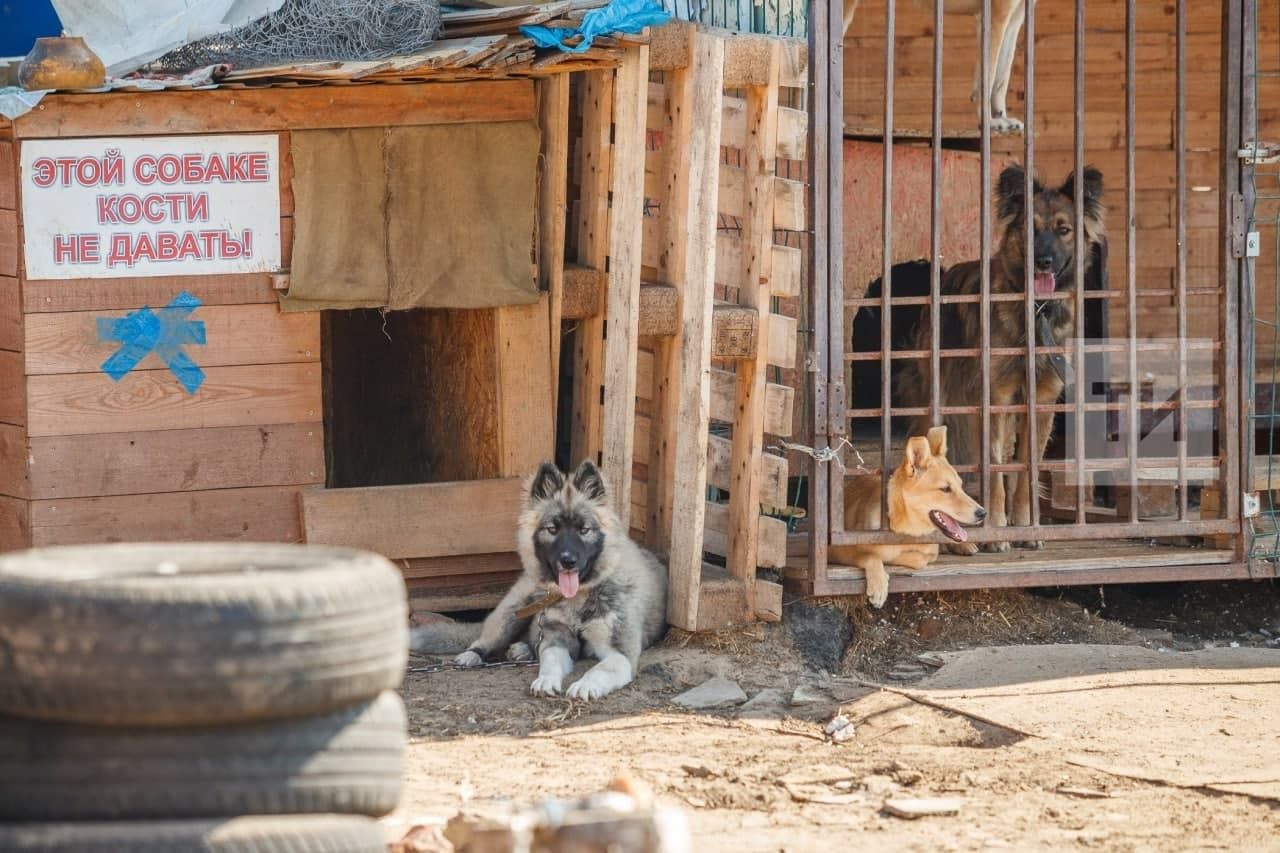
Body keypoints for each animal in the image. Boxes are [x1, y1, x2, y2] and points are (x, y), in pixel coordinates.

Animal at [834, 427, 983, 607]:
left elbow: (921, 558)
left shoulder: (930, 549)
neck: (905, 530)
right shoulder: (837, 549)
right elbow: (871, 555)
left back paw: (965, 546)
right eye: (945, 489)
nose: (983, 513)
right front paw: (879, 584)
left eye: (961, 486)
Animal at [901, 163, 1100, 550]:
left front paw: (1024, 526)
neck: (1035, 312)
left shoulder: (1041, 399)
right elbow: (992, 470)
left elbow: (1025, 468)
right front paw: (996, 528)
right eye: (1030, 229)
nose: (1043, 261)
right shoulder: (995, 397)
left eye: (1063, 230)